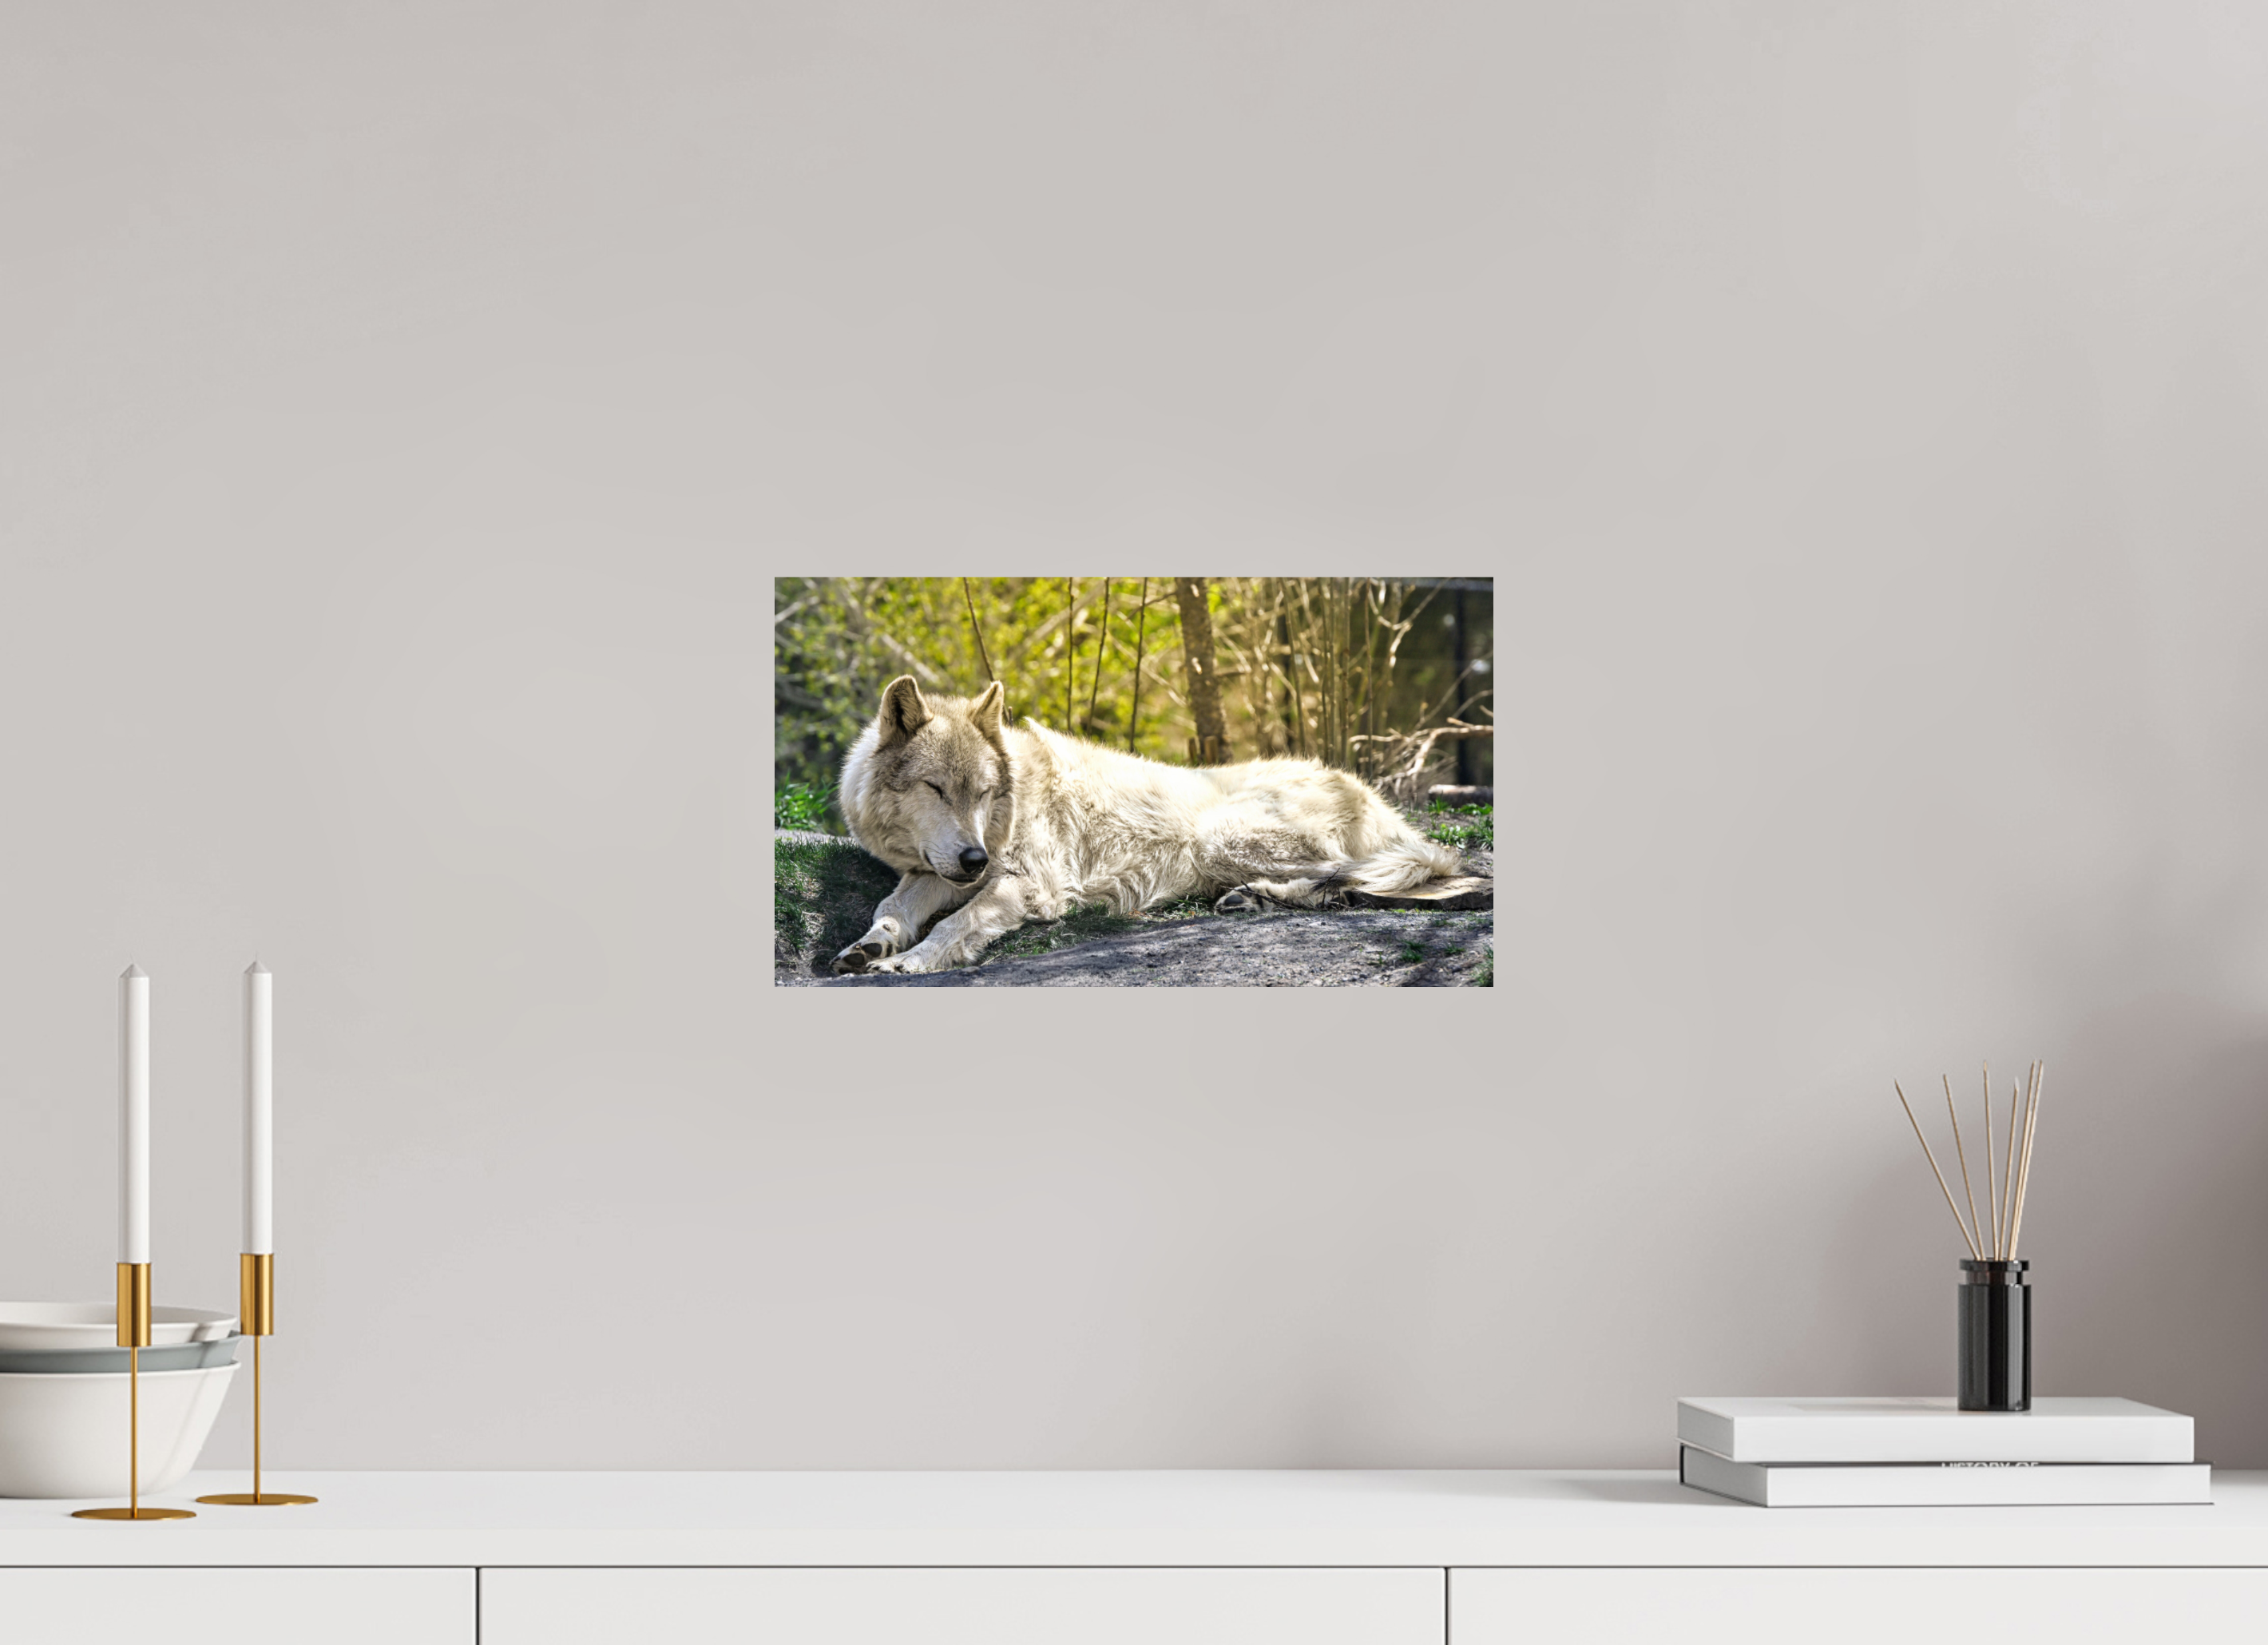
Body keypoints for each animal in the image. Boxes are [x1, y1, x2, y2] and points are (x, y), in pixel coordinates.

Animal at [828, 675, 1467, 975]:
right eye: (937, 790)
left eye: (983, 793)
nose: (975, 859)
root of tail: (1373, 797)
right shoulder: (934, 870)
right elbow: (892, 906)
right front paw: (869, 945)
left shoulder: (1031, 885)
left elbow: (956, 923)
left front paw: (908, 961)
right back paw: (1249, 898)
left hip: (1220, 837)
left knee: (1355, 874)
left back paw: (1260, 895)